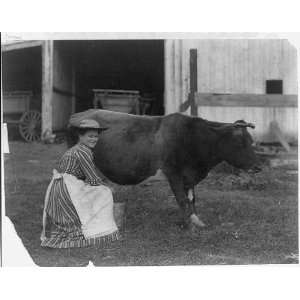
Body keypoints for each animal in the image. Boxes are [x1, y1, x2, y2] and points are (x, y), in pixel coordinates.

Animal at [69, 109, 258, 230]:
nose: (258, 167)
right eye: (240, 143)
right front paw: (187, 226)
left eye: (251, 141)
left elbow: (192, 199)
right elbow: (182, 200)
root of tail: (79, 114)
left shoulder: (189, 176)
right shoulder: (173, 173)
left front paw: (196, 220)